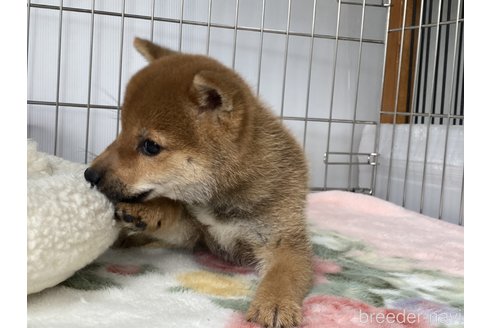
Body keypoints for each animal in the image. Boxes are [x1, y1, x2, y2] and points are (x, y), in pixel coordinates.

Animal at [85, 37, 314, 326]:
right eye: (121, 131)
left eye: (150, 146)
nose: (89, 174)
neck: (220, 199)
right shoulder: (196, 231)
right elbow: (173, 208)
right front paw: (149, 210)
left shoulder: (285, 240)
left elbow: (283, 273)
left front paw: (275, 302)